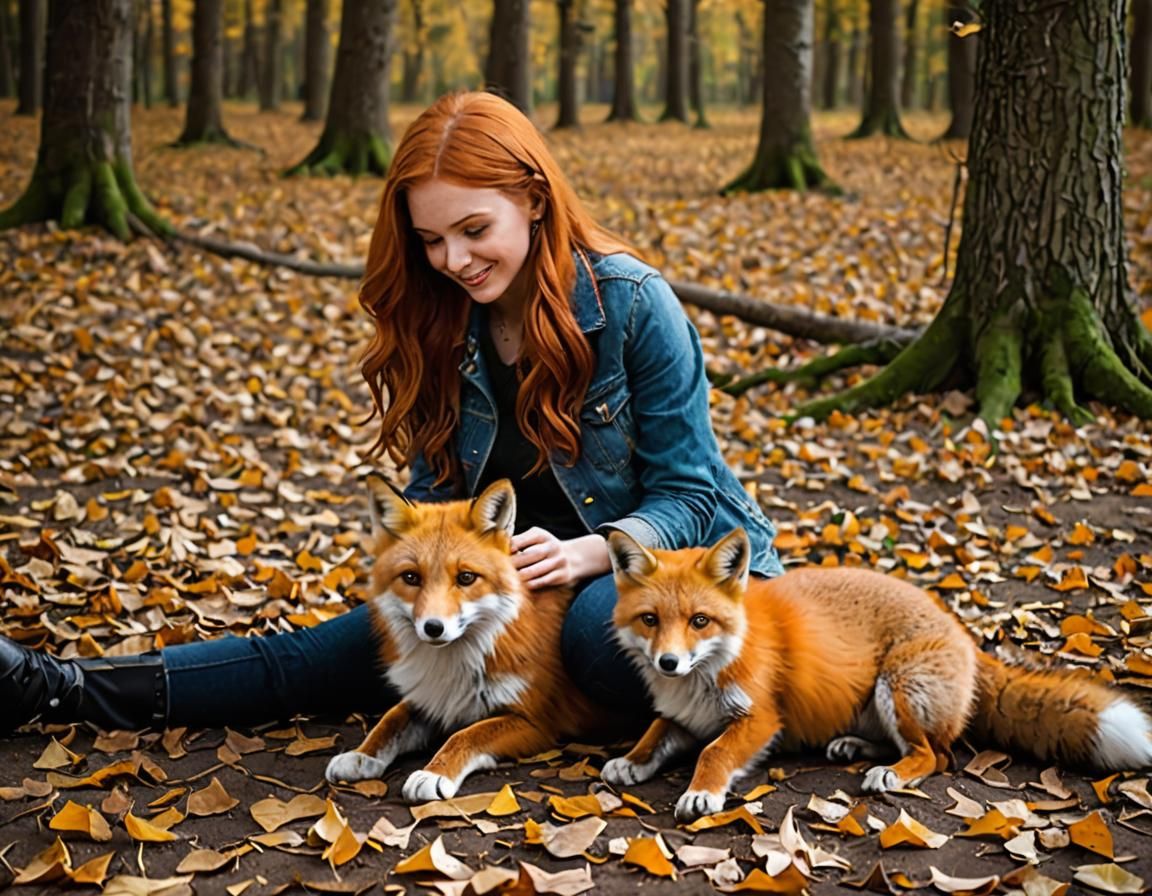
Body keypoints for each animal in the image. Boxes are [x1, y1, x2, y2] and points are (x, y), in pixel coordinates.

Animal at [325, 476, 607, 802]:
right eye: (411, 577)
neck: (457, 665)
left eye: (466, 578)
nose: (433, 627)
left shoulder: (536, 721)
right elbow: (390, 719)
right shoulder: (432, 698)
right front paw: (362, 754)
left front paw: (434, 773)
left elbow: (466, 735)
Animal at [602, 527, 1152, 823]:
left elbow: (714, 752)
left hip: (899, 688)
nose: (668, 663)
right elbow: (655, 730)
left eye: (699, 621)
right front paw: (631, 761)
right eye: (650, 620)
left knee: (938, 755)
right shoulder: (686, 714)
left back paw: (891, 772)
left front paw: (702, 791)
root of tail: (959, 629)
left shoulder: (760, 718)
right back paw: (857, 747)